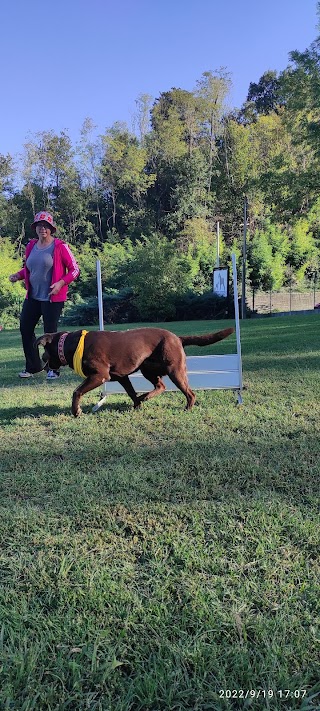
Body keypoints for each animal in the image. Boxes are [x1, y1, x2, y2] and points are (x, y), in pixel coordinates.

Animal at [36, 328, 234, 418]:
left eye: (44, 354)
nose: (42, 366)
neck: (71, 344)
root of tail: (177, 337)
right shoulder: (121, 377)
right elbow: (131, 392)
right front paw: (138, 404)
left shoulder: (99, 376)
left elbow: (76, 391)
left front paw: (76, 411)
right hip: (147, 368)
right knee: (160, 385)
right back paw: (146, 397)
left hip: (175, 370)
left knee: (190, 393)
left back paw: (187, 408)